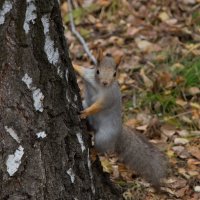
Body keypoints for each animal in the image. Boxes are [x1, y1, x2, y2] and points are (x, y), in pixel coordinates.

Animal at [73, 49, 167, 190]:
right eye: (98, 71)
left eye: (114, 74)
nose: (105, 82)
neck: (99, 86)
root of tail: (118, 134)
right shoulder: (89, 76)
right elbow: (82, 70)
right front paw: (73, 64)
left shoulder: (109, 97)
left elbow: (99, 106)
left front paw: (87, 112)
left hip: (104, 136)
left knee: (102, 148)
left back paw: (94, 152)